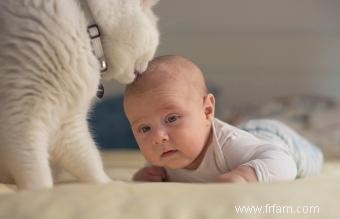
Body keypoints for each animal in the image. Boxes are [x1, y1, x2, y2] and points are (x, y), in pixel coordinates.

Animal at [0, 0, 160, 190]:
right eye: (152, 49)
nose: (145, 70)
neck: (88, 28)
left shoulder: (69, 124)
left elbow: (89, 160)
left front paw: (110, 184)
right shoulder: (22, 116)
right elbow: (35, 170)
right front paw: (40, 192)